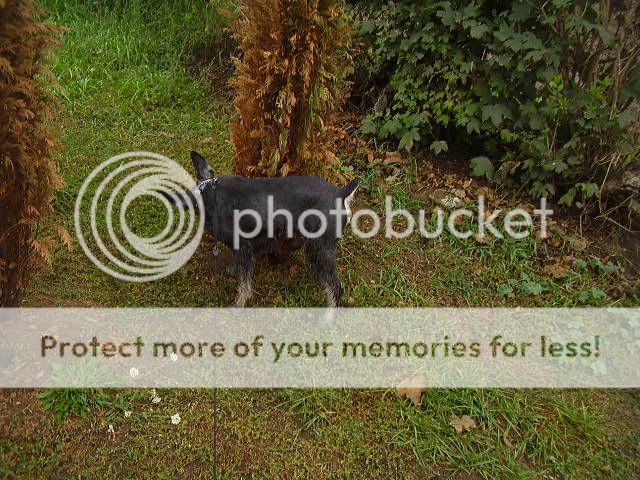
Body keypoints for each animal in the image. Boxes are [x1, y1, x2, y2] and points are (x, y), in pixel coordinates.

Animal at [165, 151, 358, 308]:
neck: (209, 195)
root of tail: (341, 194)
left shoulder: (243, 247)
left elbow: (244, 283)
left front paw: (239, 304)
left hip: (320, 247)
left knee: (337, 287)